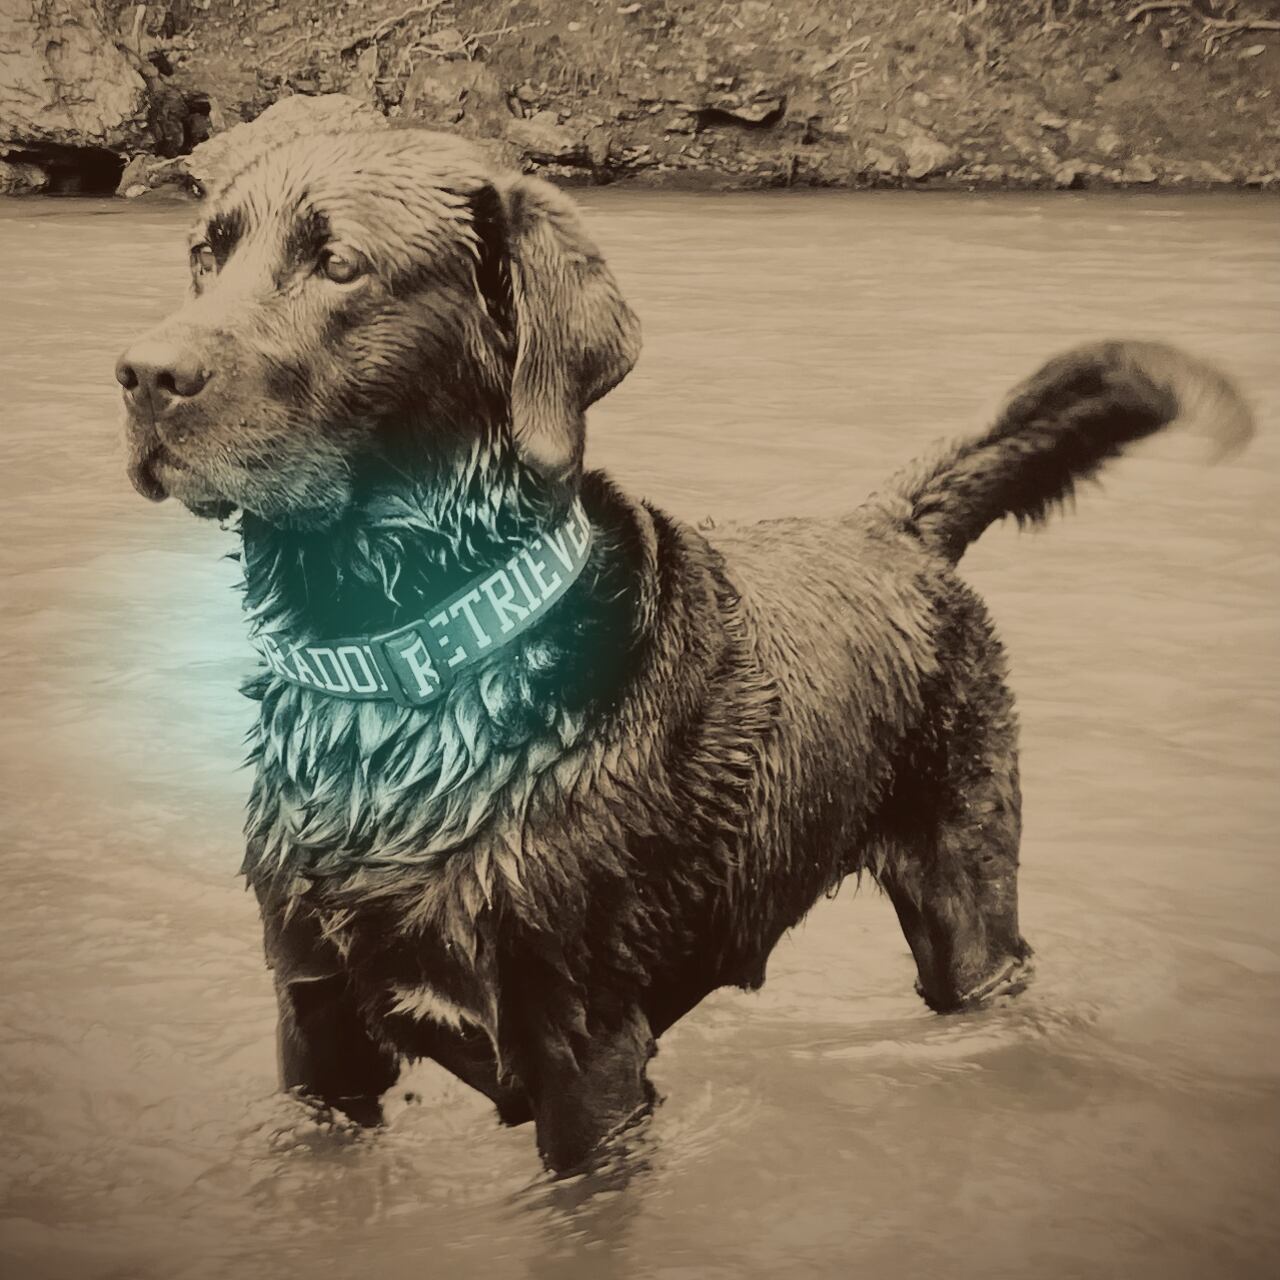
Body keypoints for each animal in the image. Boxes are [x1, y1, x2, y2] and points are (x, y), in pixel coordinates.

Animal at [116, 127, 1252, 1172]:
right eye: (206, 252)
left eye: (340, 266)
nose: (141, 373)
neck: (401, 693)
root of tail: (891, 522)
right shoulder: (315, 1024)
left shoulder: (585, 1050)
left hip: (967, 898)